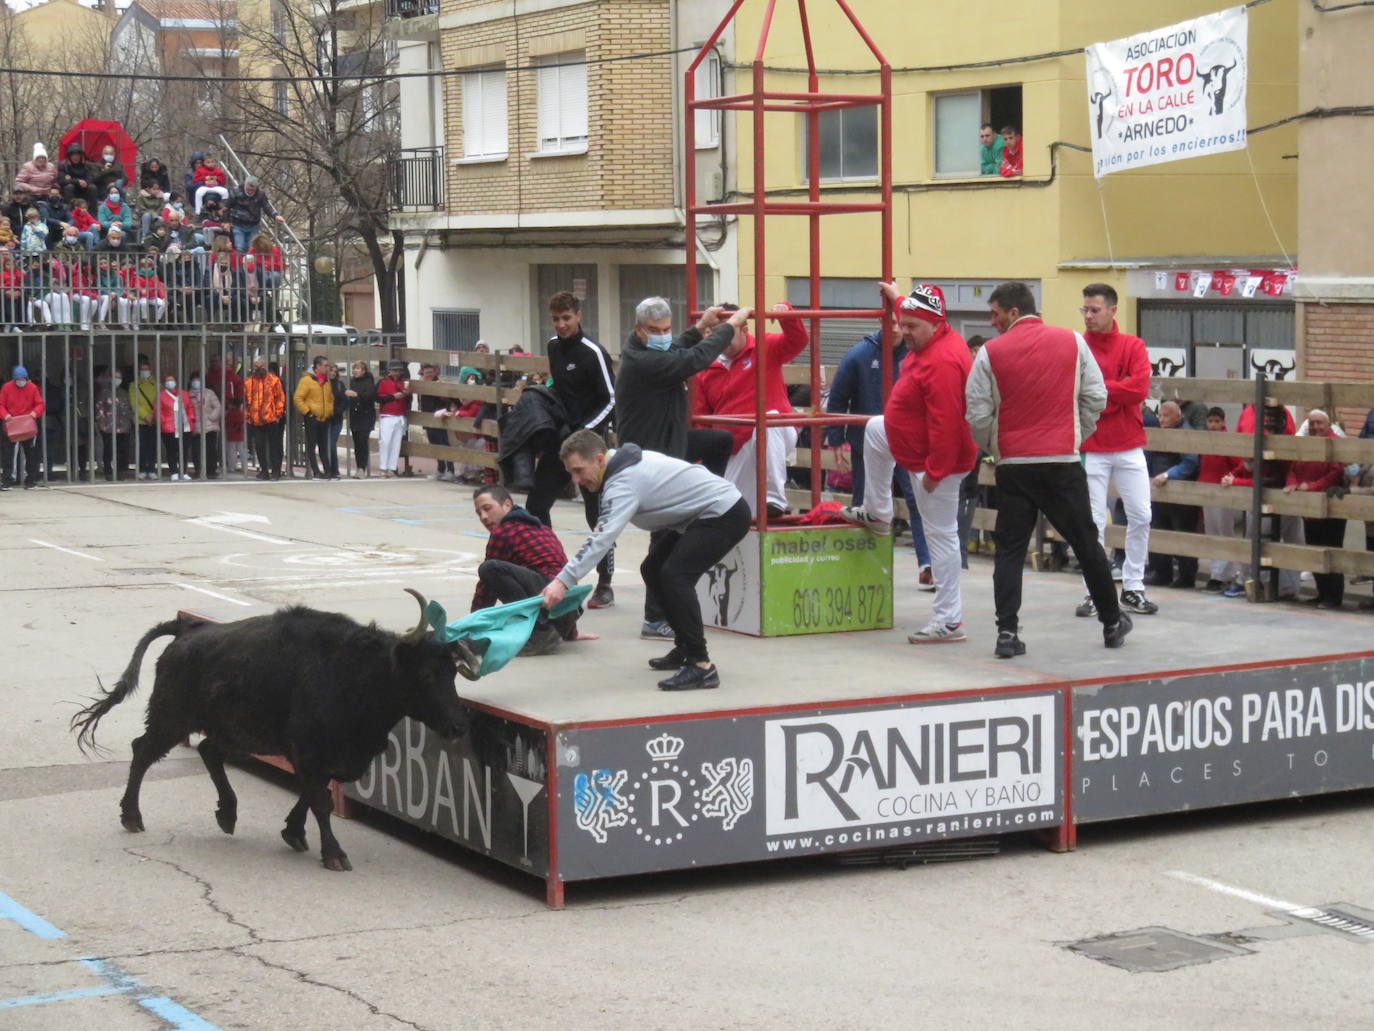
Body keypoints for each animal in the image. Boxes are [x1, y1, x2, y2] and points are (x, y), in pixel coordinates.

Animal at [71, 588, 478, 874]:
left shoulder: (328, 757)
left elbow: (312, 794)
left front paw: (293, 832)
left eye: (453, 672)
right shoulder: (309, 750)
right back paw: (132, 816)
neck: (358, 673)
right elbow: (320, 799)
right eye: (426, 674)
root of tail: (188, 628)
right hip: (170, 718)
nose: (458, 725)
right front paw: (333, 854)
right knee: (143, 751)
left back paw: (227, 814)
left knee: (209, 752)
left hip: (231, 729)